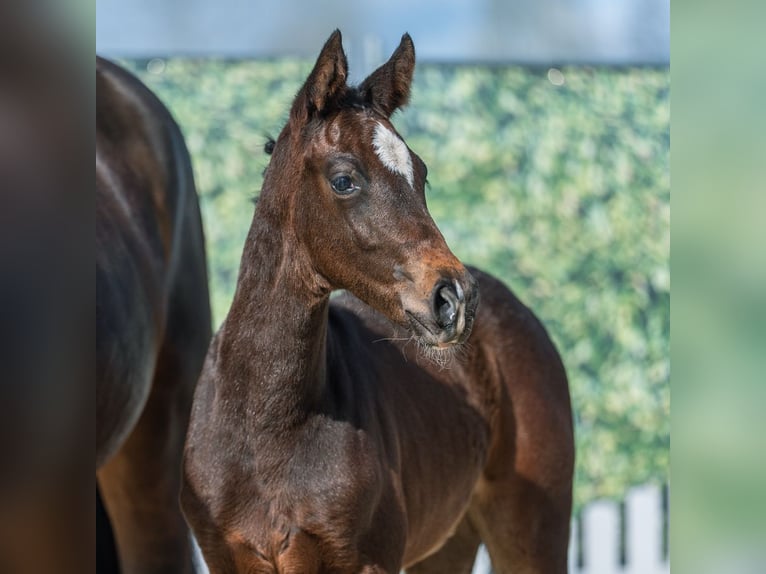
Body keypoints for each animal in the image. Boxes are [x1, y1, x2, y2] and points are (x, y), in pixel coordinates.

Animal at [181, 31, 574, 574]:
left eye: (422, 174)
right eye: (345, 179)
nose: (454, 298)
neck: (266, 428)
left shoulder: (366, 560)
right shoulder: (225, 556)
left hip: (531, 530)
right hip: (448, 542)